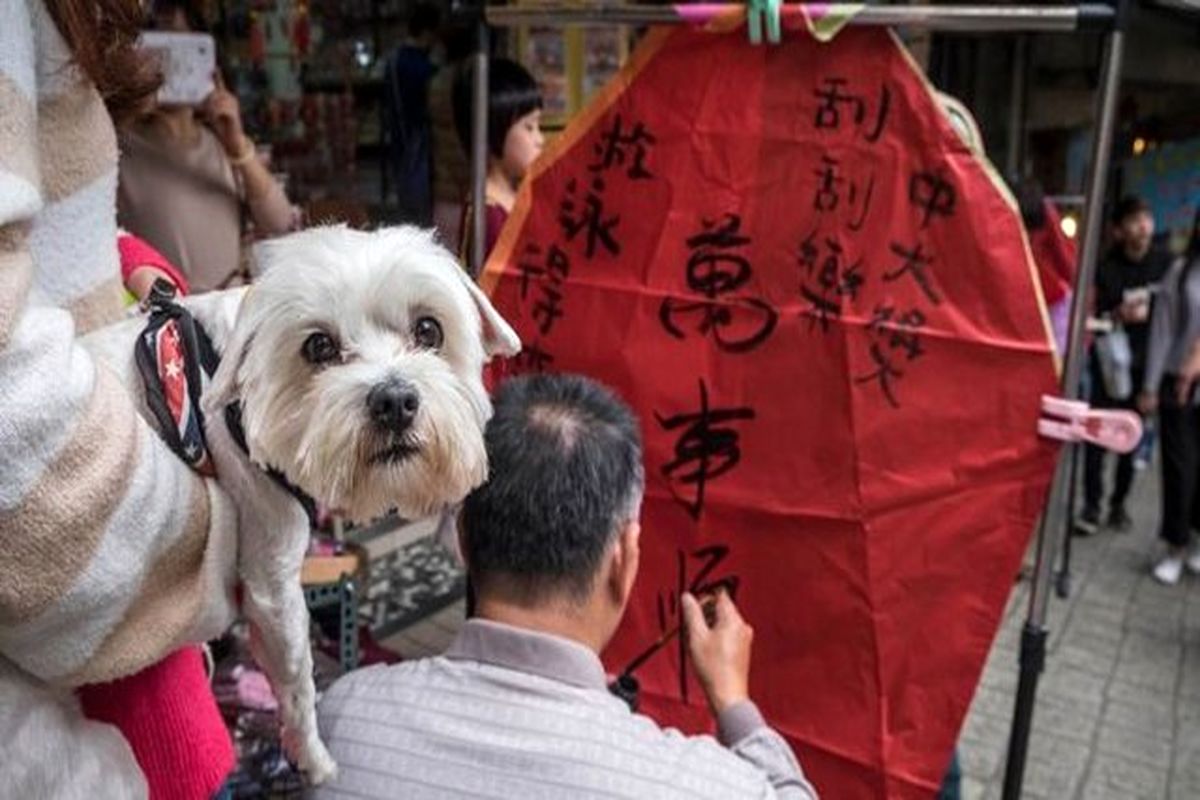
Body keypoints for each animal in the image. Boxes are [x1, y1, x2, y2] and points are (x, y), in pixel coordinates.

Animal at [78, 226, 520, 786]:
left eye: (429, 329)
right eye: (318, 346)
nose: (394, 401)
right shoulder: (271, 577)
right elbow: (297, 682)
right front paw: (313, 758)